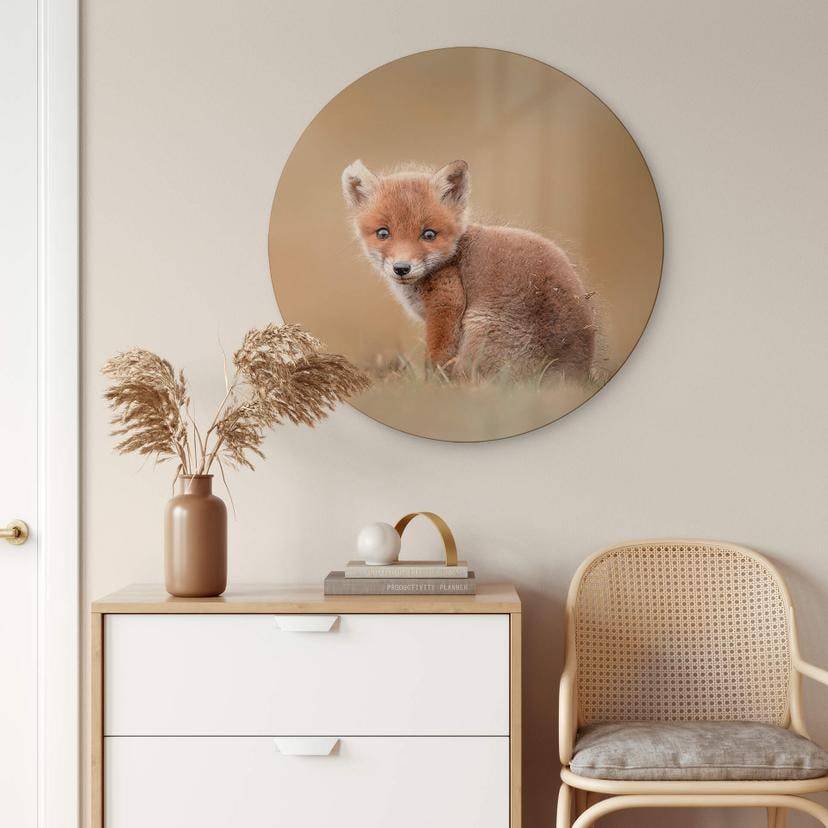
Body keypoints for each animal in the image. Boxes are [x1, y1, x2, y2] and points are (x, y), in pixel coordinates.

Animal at [341, 159, 596, 381]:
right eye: (383, 233)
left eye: (429, 234)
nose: (401, 268)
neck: (453, 257)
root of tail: (571, 371)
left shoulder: (447, 302)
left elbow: (437, 357)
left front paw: (432, 387)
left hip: (477, 329)